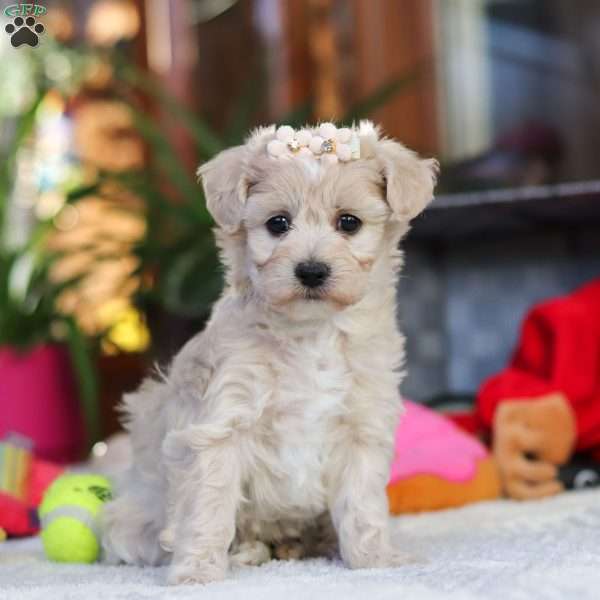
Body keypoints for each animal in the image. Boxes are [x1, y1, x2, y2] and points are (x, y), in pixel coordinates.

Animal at [103, 119, 438, 584]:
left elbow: (362, 506)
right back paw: (245, 554)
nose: (311, 271)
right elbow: (209, 505)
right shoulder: (222, 423)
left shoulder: (361, 428)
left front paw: (374, 560)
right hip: (132, 521)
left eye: (348, 222)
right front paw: (197, 572)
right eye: (278, 224)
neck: (310, 333)